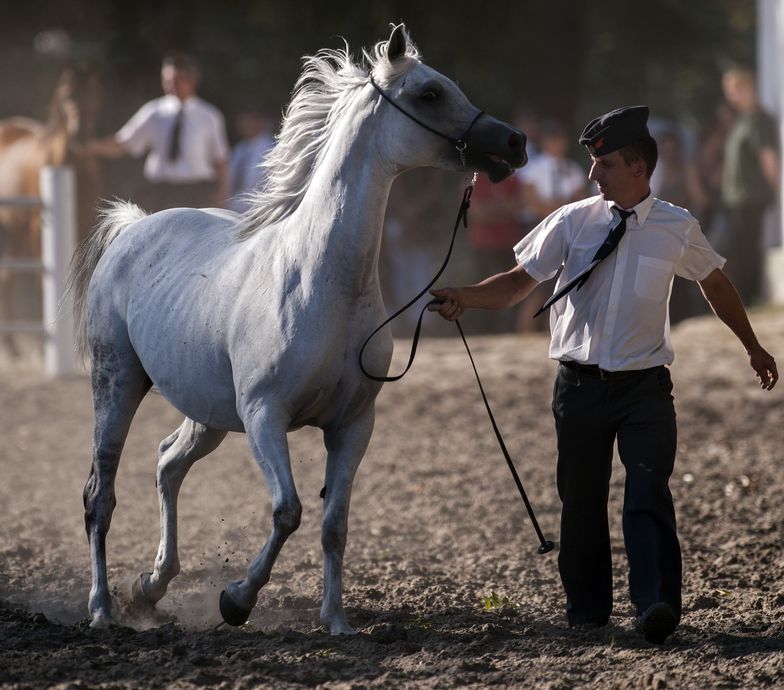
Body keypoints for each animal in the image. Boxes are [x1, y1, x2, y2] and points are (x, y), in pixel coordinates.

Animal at [0, 63, 102, 354]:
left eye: (94, 94)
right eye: (67, 95)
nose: (81, 133)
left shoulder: (84, 226)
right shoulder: (40, 227)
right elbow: (41, 281)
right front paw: (44, 342)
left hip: (19, 232)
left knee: (8, 274)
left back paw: (12, 344)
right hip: (20, 230)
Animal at [70, 24, 528, 632]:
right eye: (429, 93)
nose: (513, 143)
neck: (323, 282)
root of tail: (134, 227)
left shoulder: (354, 425)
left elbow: (335, 524)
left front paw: (336, 620)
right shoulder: (265, 416)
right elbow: (288, 511)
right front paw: (236, 600)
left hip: (208, 413)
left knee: (168, 465)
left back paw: (150, 587)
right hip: (117, 384)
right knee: (100, 494)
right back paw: (101, 608)